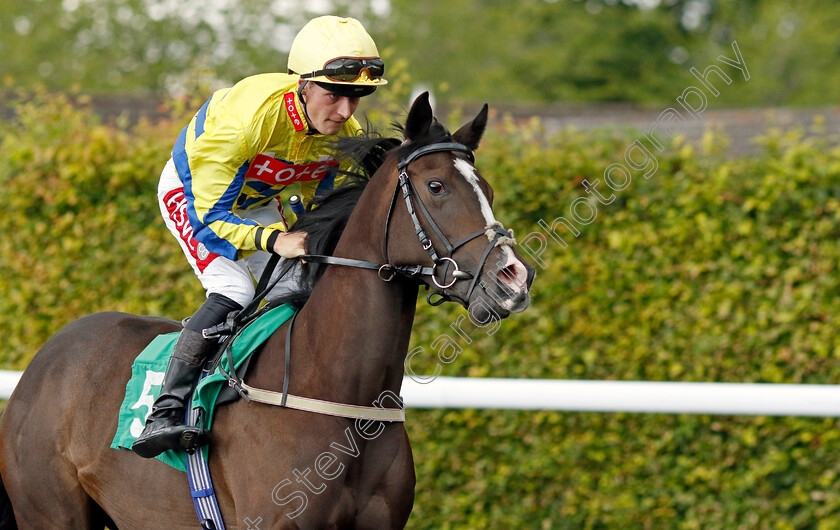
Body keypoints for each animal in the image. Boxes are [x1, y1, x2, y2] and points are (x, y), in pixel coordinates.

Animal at [0, 93, 536, 524]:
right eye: (437, 187)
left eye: (487, 190)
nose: (514, 277)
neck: (334, 389)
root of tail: (43, 360)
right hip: (50, 513)